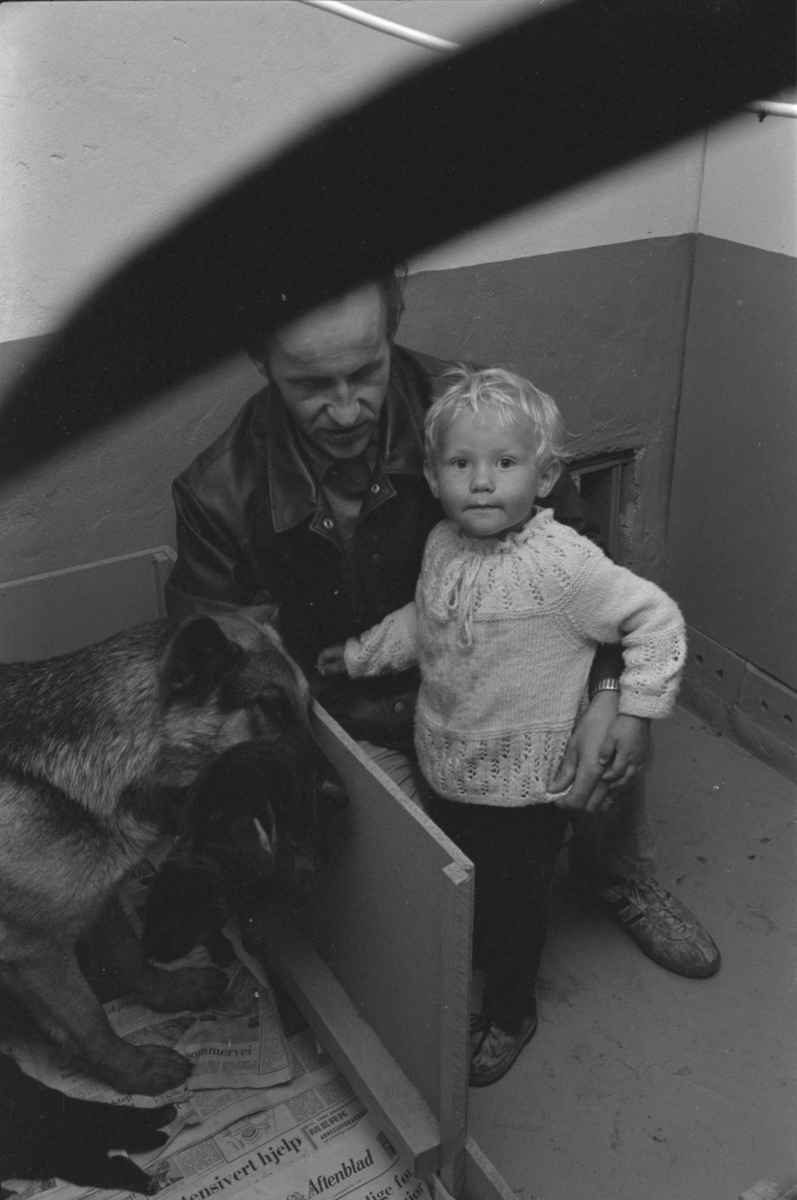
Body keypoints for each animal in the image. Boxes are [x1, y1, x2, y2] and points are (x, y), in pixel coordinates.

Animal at [2, 614, 321, 1094]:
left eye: (308, 707)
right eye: (271, 708)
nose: (338, 796)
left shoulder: (101, 899)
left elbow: (130, 955)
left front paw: (170, 992)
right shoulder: (37, 954)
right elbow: (90, 1019)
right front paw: (132, 1068)